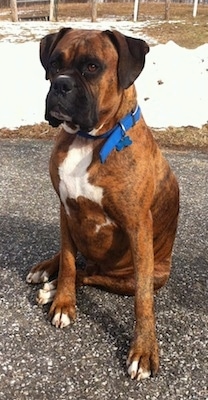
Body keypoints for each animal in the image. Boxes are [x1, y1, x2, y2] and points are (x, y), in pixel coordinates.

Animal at [26, 28, 179, 382]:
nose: (61, 84)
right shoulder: (65, 210)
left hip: (145, 273)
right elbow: (69, 262)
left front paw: (143, 351)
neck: (88, 139)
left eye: (92, 67)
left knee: (93, 275)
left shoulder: (138, 227)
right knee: (76, 264)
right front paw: (64, 301)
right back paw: (47, 274)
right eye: (54, 64)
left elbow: (143, 300)